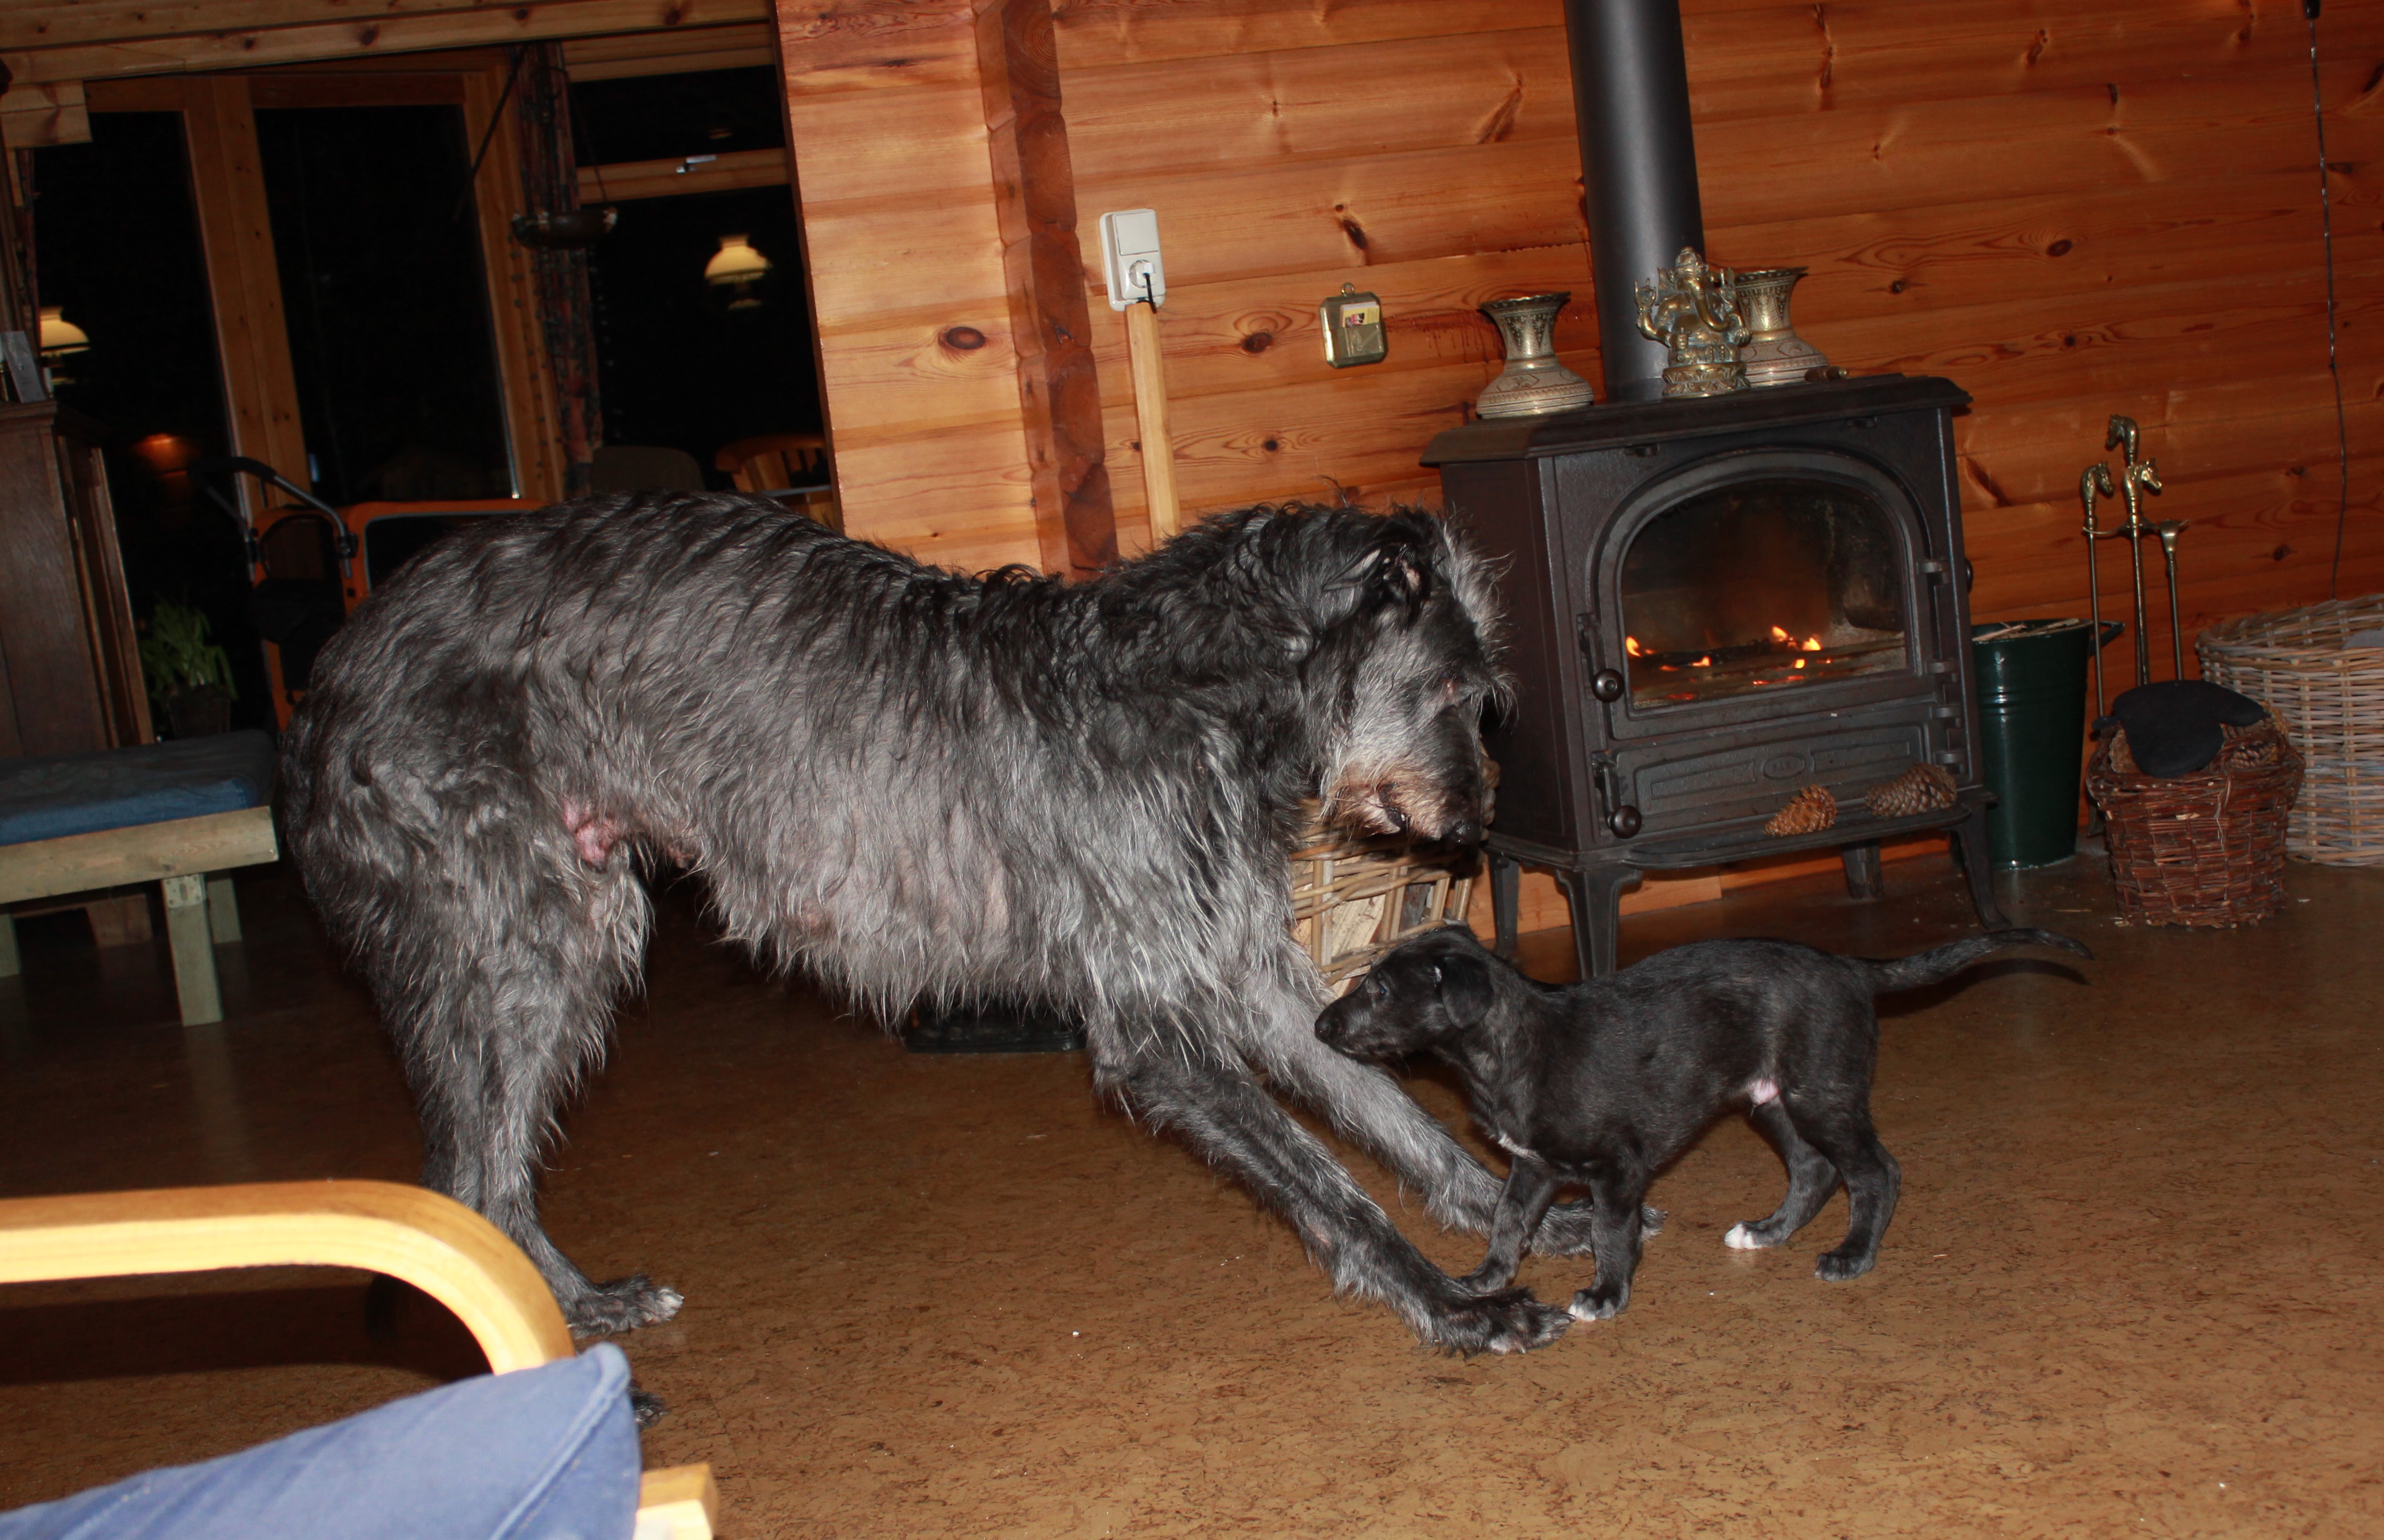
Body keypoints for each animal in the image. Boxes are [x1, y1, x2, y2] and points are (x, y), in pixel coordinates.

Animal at [282, 494, 1601, 1354]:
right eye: (1453, 689)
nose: (1475, 827)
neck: (1193, 687)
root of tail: (323, 683)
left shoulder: (1249, 974)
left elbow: (1387, 1113)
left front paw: (1510, 1210)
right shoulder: (1156, 1027)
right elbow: (1332, 1181)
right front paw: (1455, 1303)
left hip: (567, 933)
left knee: (490, 1177)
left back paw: (586, 1305)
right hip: (522, 938)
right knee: (474, 1175)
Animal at [1315, 924, 2090, 1322]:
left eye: (1378, 989)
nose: (1319, 1025)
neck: (1510, 1045)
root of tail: (1851, 968)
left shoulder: (1618, 1169)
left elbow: (1611, 1233)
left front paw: (1606, 1293)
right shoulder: (1533, 1166)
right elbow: (1508, 1223)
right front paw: (1487, 1277)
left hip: (1821, 1093)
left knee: (1876, 1171)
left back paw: (1852, 1255)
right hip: (1771, 1099)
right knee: (1814, 1171)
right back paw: (1768, 1232)